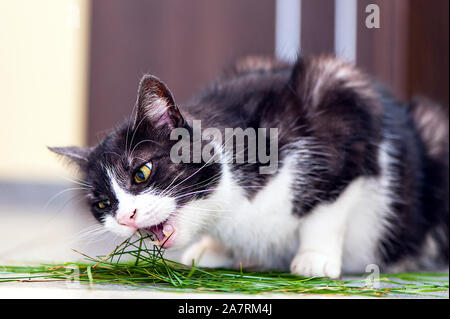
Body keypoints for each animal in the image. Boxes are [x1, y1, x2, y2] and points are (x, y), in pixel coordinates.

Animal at [51, 56, 448, 278]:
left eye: (142, 172)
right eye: (103, 204)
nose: (125, 217)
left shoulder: (343, 101)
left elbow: (329, 206)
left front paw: (314, 258)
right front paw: (213, 250)